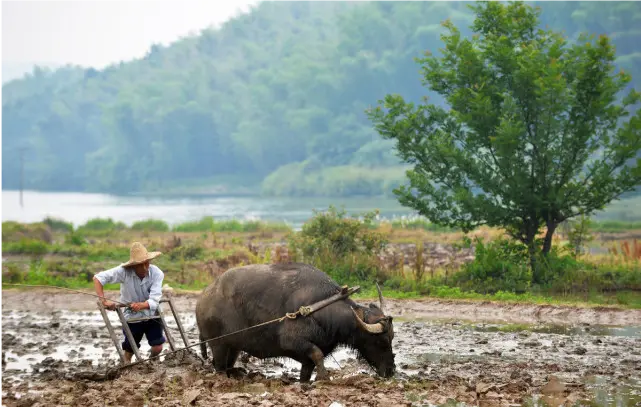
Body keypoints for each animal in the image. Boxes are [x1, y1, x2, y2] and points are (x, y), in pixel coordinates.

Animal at [195, 262, 396, 382]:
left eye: (392, 339)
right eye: (382, 341)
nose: (391, 371)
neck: (321, 309)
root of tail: (204, 297)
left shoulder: (306, 357)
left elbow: (309, 367)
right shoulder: (292, 341)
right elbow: (317, 354)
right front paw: (324, 378)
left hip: (234, 346)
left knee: (229, 363)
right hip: (218, 344)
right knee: (219, 366)